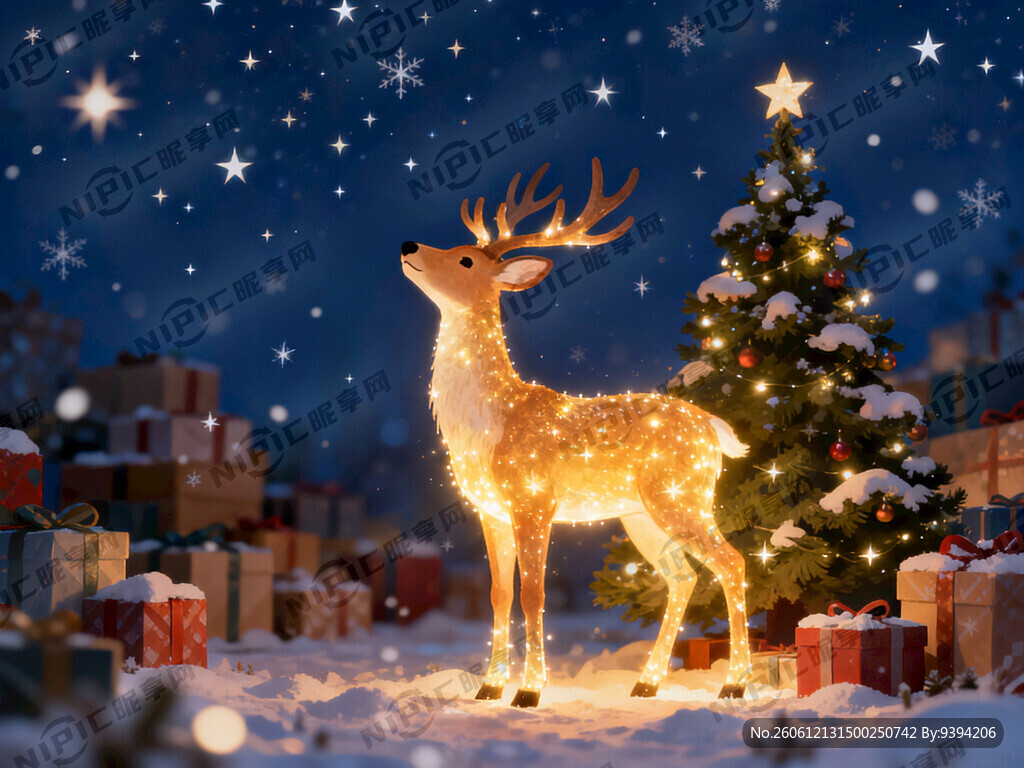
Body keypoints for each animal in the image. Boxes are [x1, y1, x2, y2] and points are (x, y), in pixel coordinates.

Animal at [401, 159, 752, 707]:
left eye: (465, 260)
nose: (408, 246)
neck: (489, 421)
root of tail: (712, 427)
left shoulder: (534, 497)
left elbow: (534, 593)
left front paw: (529, 693)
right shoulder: (489, 508)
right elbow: (499, 594)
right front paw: (489, 688)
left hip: (682, 494)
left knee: (732, 563)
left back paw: (734, 685)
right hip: (640, 513)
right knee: (684, 577)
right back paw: (646, 684)